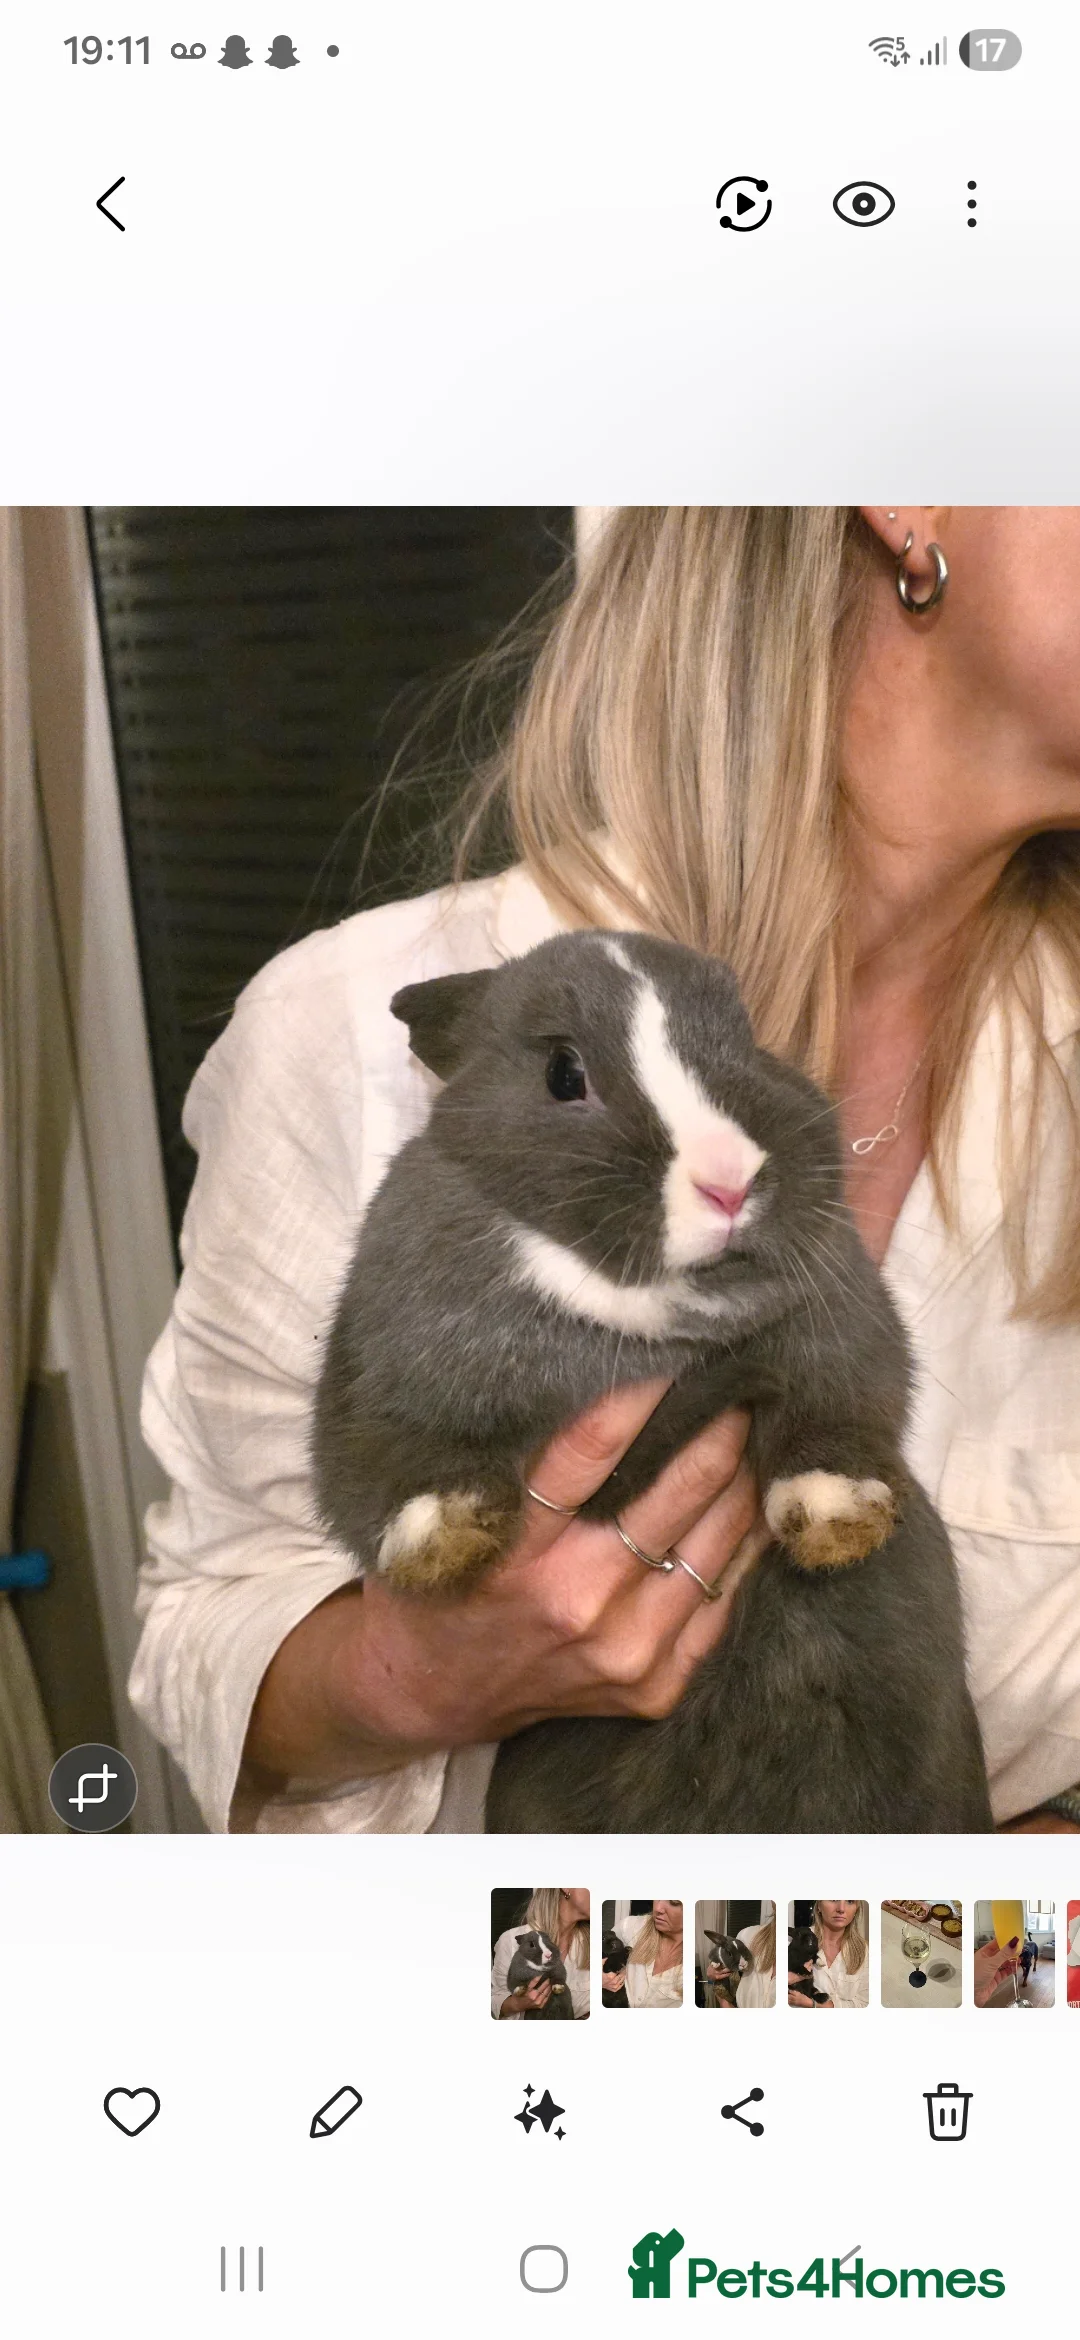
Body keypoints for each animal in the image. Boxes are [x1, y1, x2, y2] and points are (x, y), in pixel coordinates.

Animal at [312, 927, 992, 1834]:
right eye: (564, 1073)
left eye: (745, 1040)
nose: (730, 1180)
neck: (645, 1303)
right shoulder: (385, 1368)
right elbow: (387, 1465)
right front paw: (443, 1537)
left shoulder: (840, 1337)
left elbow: (835, 1415)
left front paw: (837, 1520)